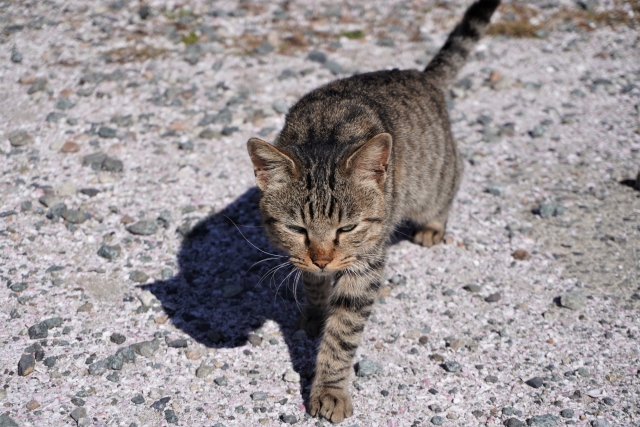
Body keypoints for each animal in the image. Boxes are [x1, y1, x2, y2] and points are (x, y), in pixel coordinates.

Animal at [245, 0, 500, 422]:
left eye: (347, 228)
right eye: (297, 229)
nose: (322, 259)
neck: (323, 136)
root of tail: (419, 75)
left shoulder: (366, 265)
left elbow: (342, 336)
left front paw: (330, 390)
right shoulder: (307, 261)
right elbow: (314, 287)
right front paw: (315, 313)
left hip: (431, 183)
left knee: (454, 176)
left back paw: (433, 226)